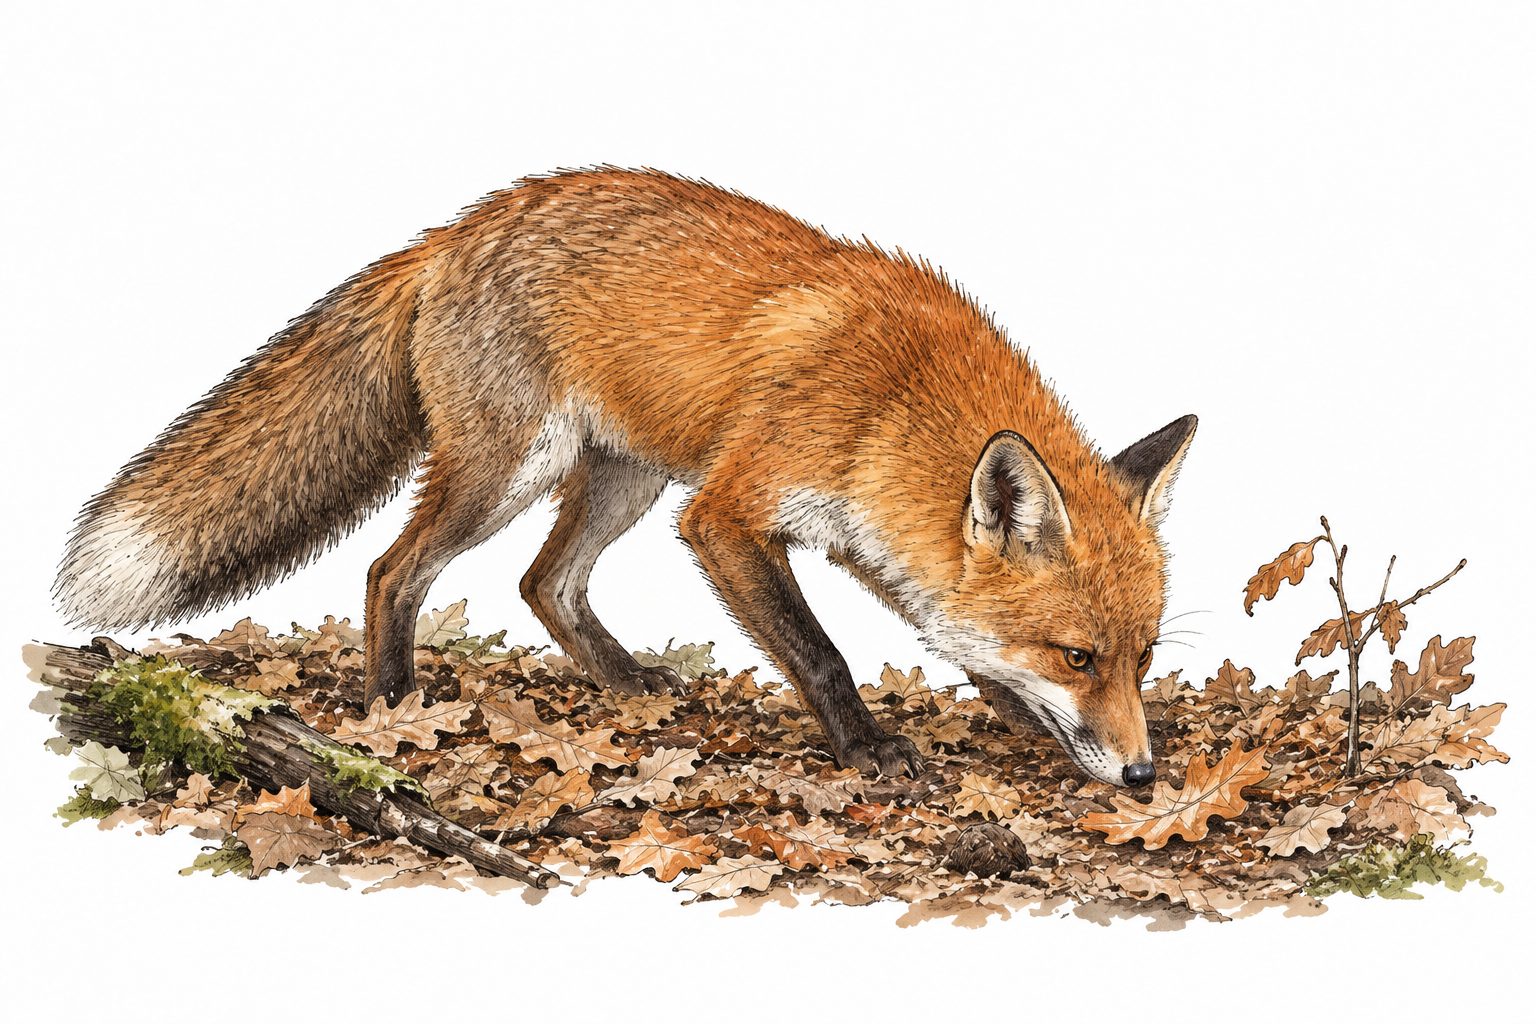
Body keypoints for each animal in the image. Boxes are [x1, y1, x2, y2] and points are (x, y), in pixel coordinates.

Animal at [57, 167, 1196, 787]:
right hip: (511, 471)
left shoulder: (870, 542)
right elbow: (821, 654)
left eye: (1139, 658)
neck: (892, 399)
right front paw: (869, 750)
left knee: (543, 583)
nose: (1143, 775)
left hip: (622, 480)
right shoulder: (728, 513)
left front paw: (1026, 728)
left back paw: (626, 684)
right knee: (393, 571)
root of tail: (454, 230)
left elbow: (967, 653)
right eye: (1080, 655)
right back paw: (391, 708)